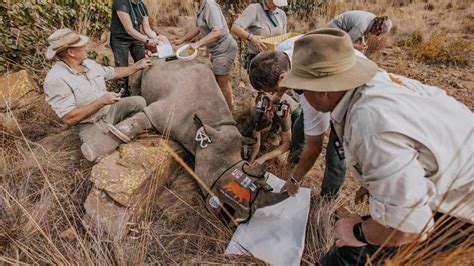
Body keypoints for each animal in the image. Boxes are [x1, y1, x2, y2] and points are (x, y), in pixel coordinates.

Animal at [85, 58, 288, 224]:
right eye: (228, 188)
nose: (233, 220)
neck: (212, 127)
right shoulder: (158, 113)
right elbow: (139, 120)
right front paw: (110, 139)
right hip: (144, 65)